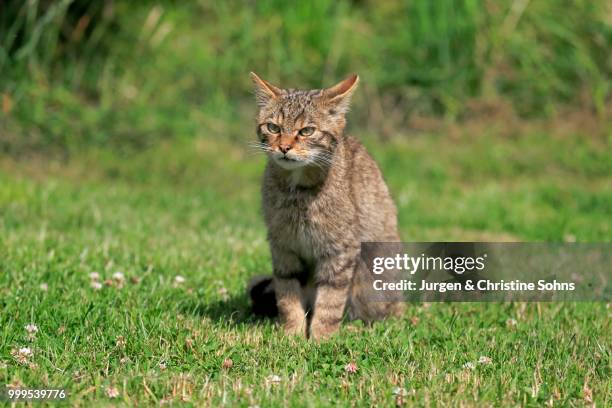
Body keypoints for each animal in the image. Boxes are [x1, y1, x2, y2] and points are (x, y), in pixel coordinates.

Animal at [246, 71, 404, 340]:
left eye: (307, 131)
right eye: (273, 127)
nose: (284, 147)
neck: (298, 193)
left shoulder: (340, 249)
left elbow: (330, 300)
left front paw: (321, 338)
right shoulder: (283, 247)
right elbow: (288, 296)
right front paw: (292, 335)